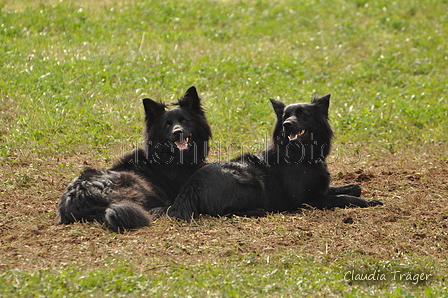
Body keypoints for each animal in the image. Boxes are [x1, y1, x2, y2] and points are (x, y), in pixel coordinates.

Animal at [153, 94, 382, 220]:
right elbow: (343, 198)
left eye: (302, 114)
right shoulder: (307, 200)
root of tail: (189, 187)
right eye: (285, 116)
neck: (300, 154)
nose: (286, 124)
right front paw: (369, 201)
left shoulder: (319, 189)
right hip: (251, 179)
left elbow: (352, 187)